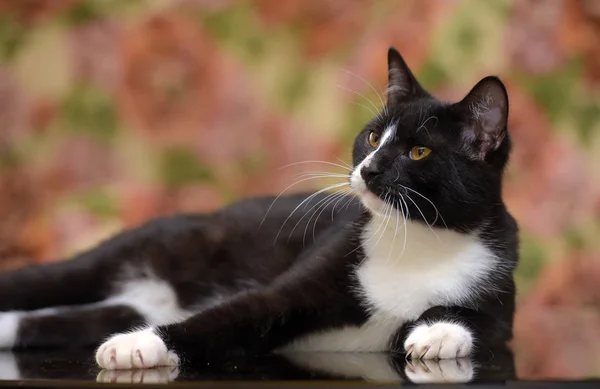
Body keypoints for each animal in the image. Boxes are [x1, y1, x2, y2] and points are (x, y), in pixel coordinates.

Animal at [0, 48, 516, 370]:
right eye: (372, 137)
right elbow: (236, 313)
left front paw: (439, 332)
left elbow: (484, 323)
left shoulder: (498, 284)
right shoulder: (317, 269)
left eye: (419, 152)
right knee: (51, 281)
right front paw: (140, 344)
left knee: (65, 320)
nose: (368, 169)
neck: (415, 238)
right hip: (143, 247)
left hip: (130, 300)